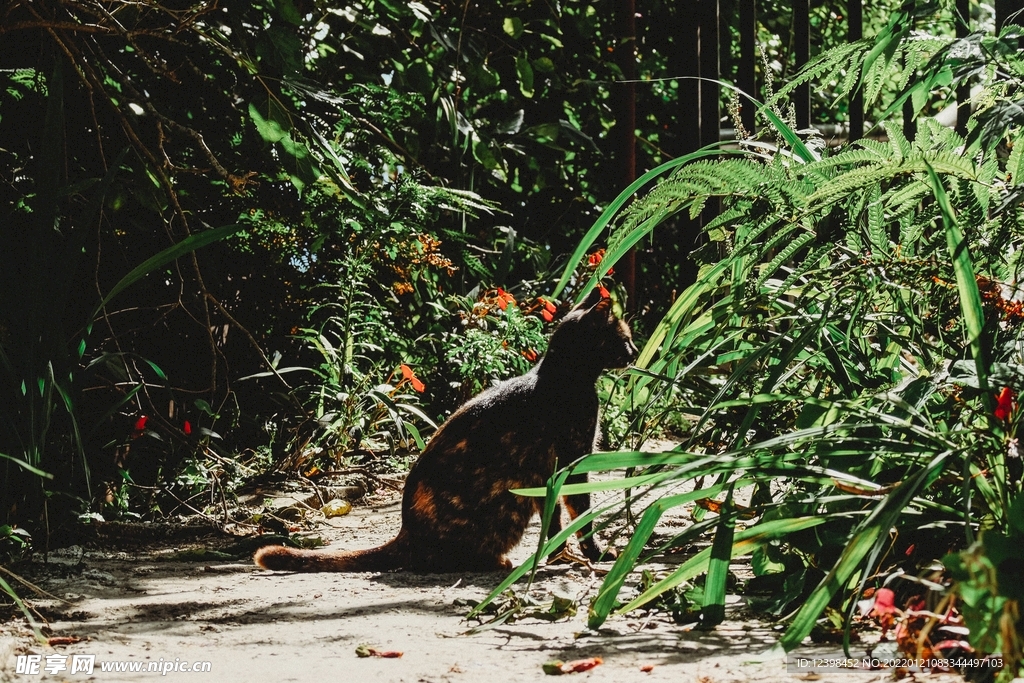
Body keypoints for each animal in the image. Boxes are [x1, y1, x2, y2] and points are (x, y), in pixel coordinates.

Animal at [252, 286, 634, 573]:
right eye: (624, 338)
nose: (634, 352)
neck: (563, 377)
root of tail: (405, 534)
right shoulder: (572, 463)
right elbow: (581, 516)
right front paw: (593, 554)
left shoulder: (546, 479)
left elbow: (555, 522)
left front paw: (557, 555)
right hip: (507, 508)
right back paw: (498, 563)